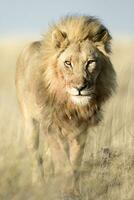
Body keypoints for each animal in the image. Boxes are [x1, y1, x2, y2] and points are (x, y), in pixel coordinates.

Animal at [15, 15, 116, 198]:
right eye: (68, 63)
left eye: (90, 62)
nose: (80, 88)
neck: (72, 106)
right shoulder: (50, 127)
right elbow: (63, 162)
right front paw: (65, 189)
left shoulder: (80, 130)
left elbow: (74, 163)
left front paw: (73, 191)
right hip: (30, 122)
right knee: (35, 155)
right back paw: (39, 184)